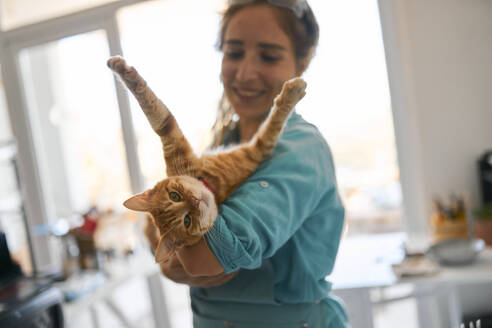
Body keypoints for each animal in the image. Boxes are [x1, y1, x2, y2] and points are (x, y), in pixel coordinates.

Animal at [108, 55, 308, 262]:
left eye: (174, 196)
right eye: (187, 221)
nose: (195, 201)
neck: (210, 183)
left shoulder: (170, 137)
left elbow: (151, 107)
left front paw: (120, 68)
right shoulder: (259, 149)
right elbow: (274, 122)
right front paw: (293, 91)